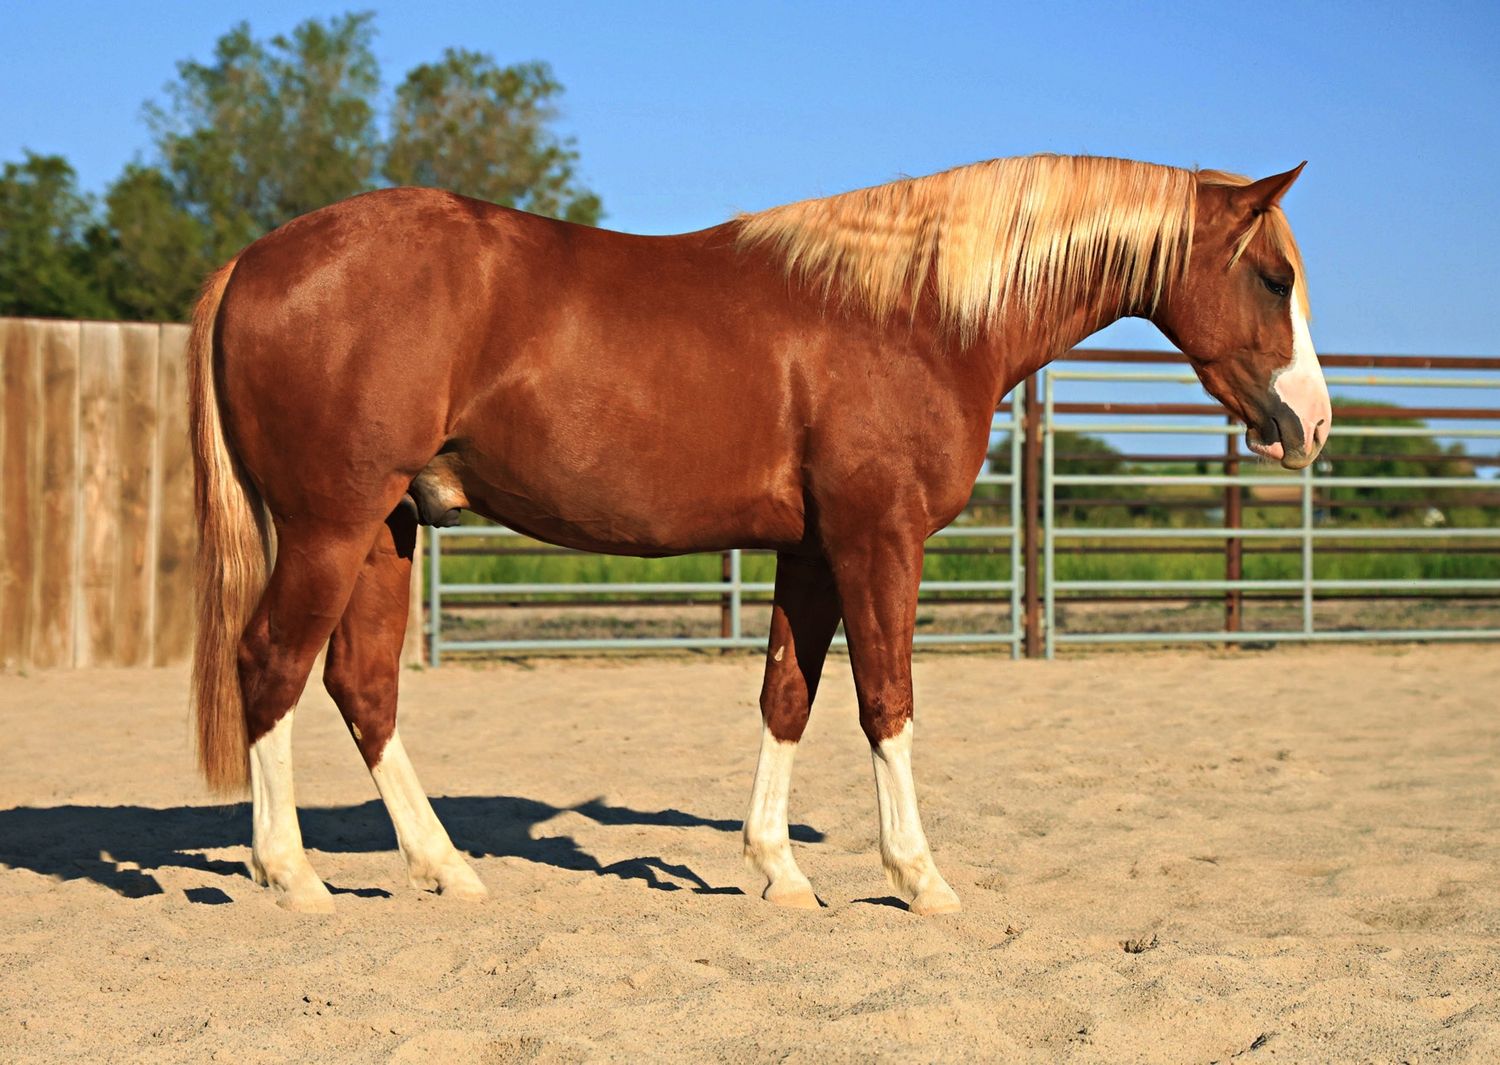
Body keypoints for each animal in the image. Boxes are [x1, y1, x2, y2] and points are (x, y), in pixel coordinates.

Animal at [188, 153, 1330, 914]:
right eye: (1274, 279)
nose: (1312, 425)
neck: (910, 312)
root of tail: (252, 260)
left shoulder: (813, 550)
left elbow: (789, 697)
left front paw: (780, 870)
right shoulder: (879, 539)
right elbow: (885, 702)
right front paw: (919, 877)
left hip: (387, 529)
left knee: (363, 686)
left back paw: (443, 867)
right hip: (332, 525)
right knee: (273, 663)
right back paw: (292, 876)